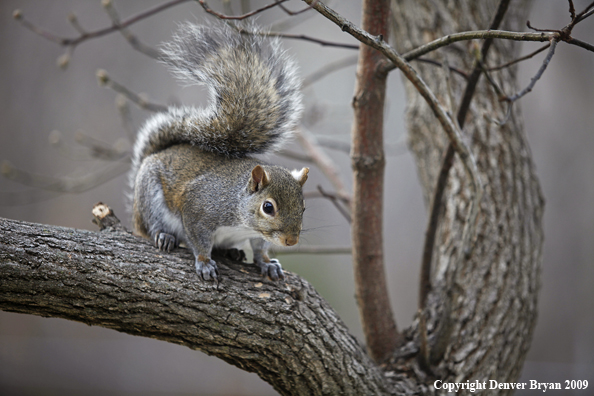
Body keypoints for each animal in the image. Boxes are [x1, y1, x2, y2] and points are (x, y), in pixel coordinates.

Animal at [128, 22, 308, 282]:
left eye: (303, 207)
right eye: (268, 207)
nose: (291, 241)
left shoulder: (257, 235)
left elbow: (260, 247)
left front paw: (266, 262)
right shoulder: (198, 209)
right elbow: (199, 240)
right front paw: (204, 262)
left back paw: (233, 252)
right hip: (149, 197)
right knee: (152, 225)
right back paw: (164, 235)